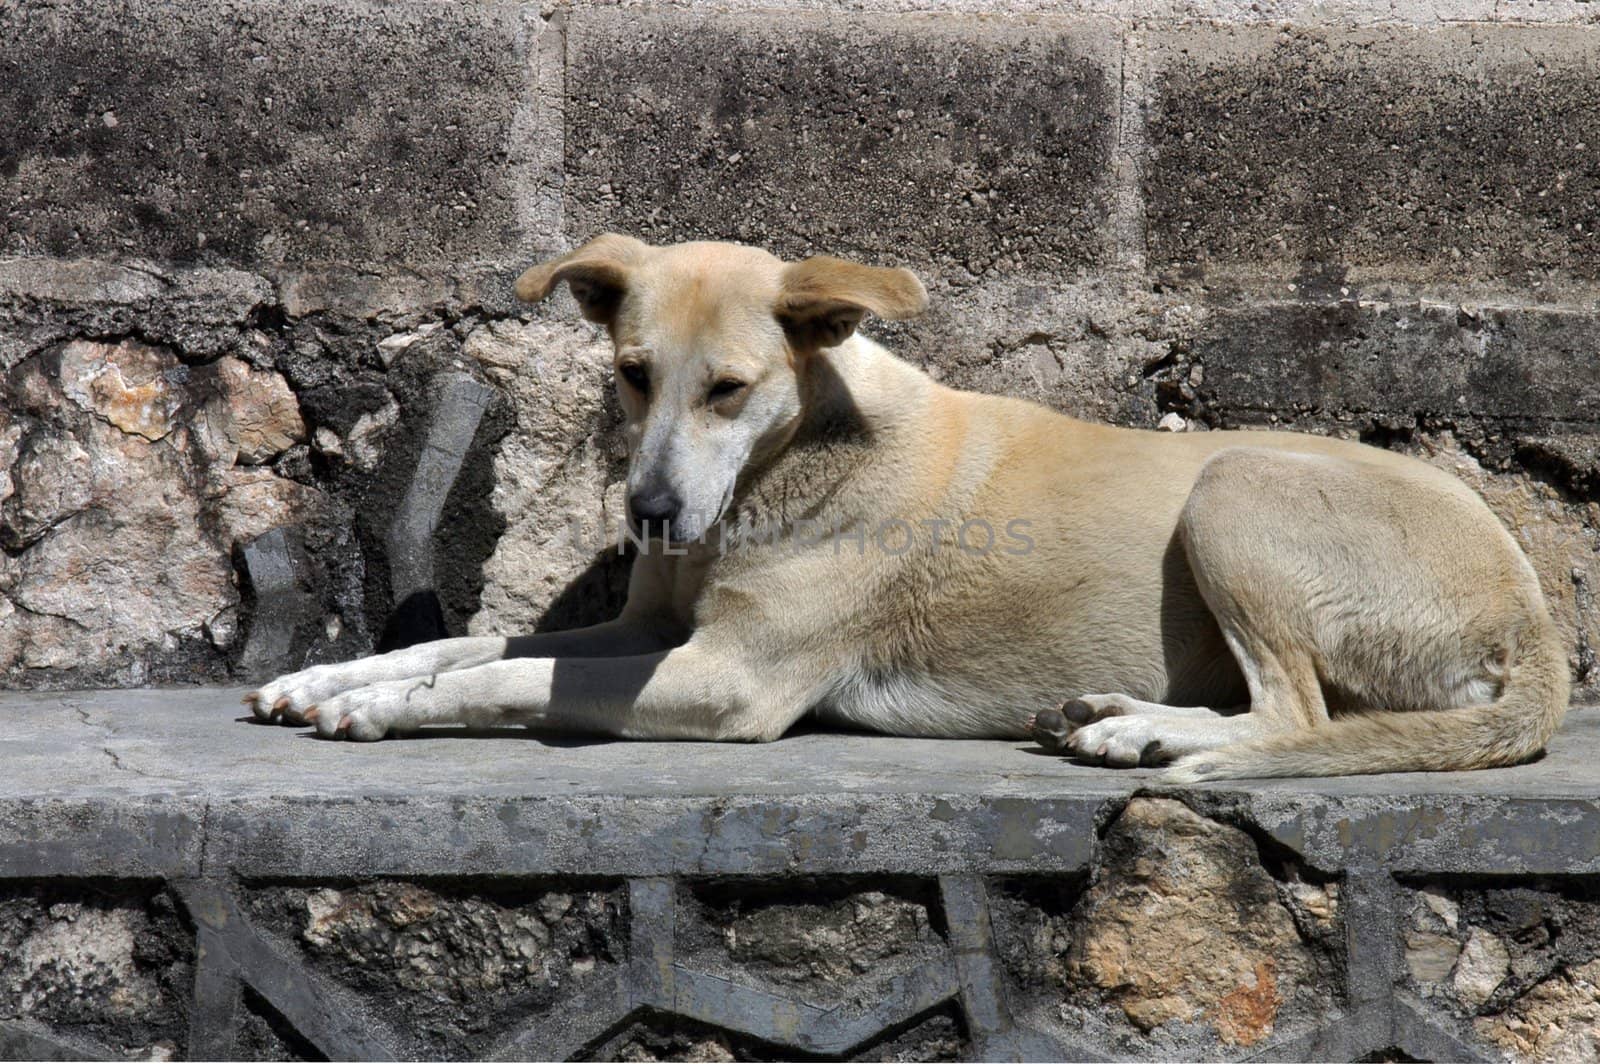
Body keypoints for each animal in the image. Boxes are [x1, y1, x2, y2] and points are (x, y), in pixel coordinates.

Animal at [243, 235, 1568, 780]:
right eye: (629, 373)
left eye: (729, 388)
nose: (654, 512)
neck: (789, 461)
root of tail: (1537, 625)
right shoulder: (644, 629)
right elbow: (473, 641)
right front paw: (328, 678)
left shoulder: (726, 681)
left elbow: (504, 673)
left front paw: (385, 710)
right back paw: (1112, 713)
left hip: (1237, 485)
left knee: (1294, 711)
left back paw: (1144, 736)